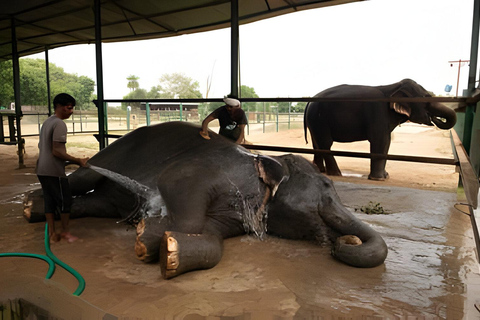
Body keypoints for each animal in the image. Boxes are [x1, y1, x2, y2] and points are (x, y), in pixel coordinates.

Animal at [25, 121, 386, 278]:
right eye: (326, 184)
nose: (344, 243)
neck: (264, 161)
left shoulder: (234, 217)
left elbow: (213, 240)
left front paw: (164, 248)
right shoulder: (207, 171)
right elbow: (176, 186)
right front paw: (148, 234)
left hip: (108, 196)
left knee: (94, 203)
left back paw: (36, 209)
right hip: (113, 153)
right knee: (81, 179)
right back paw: (32, 205)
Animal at [304, 78, 458, 180]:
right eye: (426, 97)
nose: (434, 119)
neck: (393, 87)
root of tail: (310, 101)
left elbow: (385, 142)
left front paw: (386, 176)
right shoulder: (377, 113)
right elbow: (382, 141)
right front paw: (380, 178)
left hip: (315, 121)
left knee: (316, 143)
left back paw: (319, 170)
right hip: (320, 119)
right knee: (325, 144)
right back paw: (336, 174)